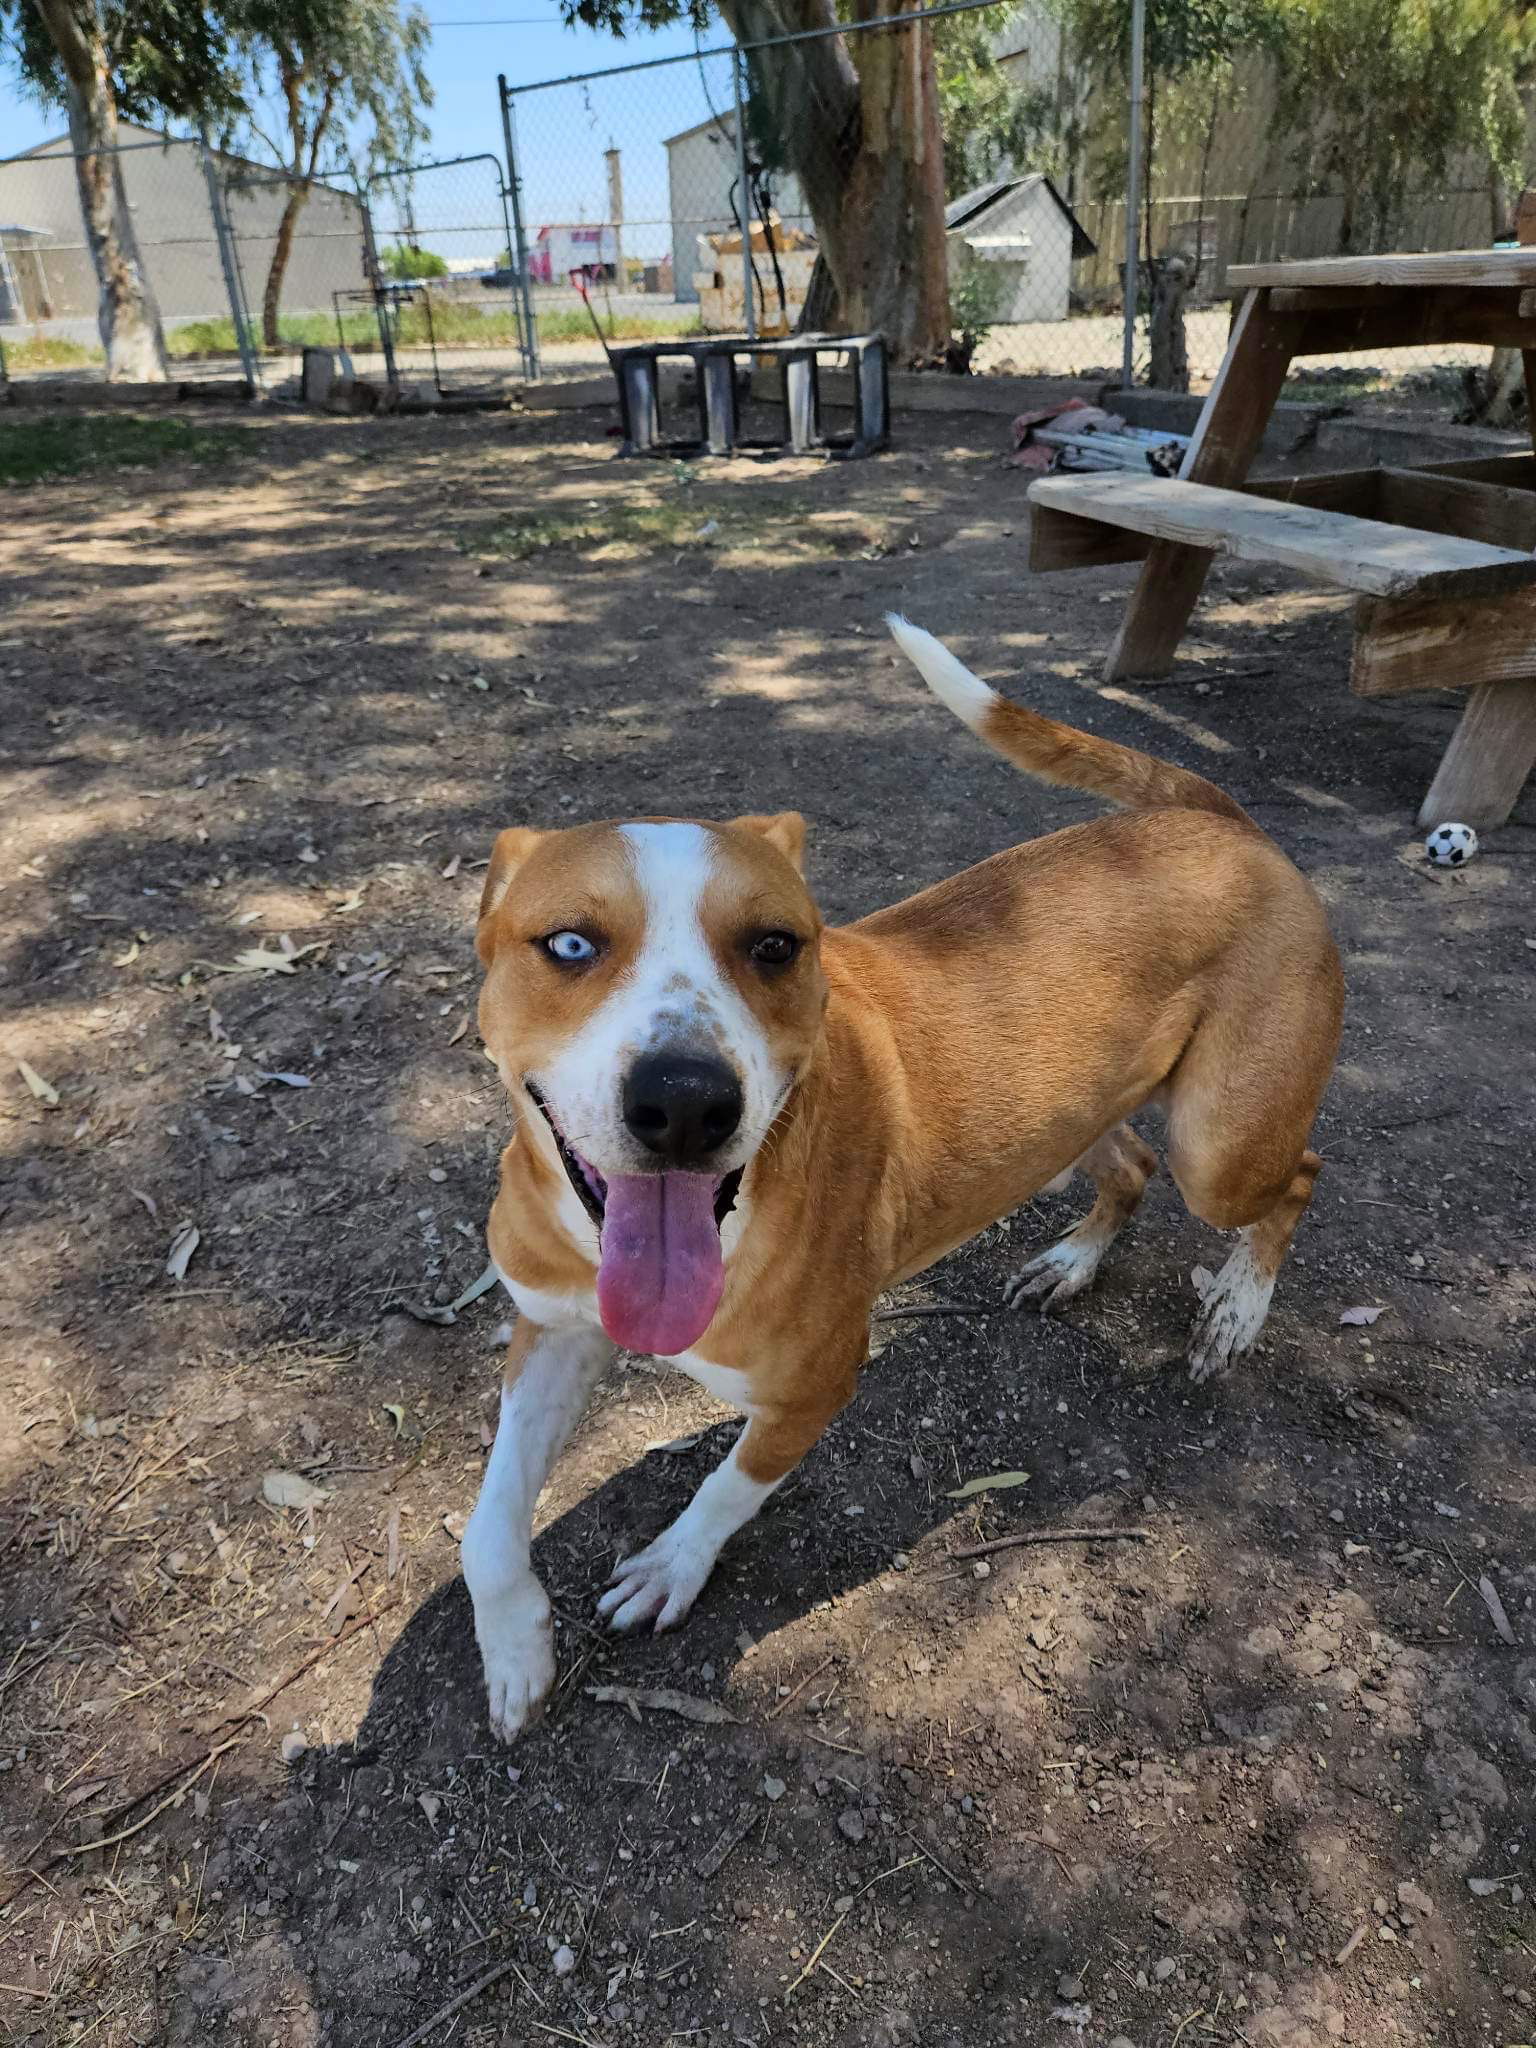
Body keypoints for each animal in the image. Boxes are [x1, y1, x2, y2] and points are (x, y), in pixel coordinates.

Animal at [460, 614, 1343, 1736]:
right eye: (569, 943)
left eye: (776, 945)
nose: (688, 1100)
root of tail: (1219, 821)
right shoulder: (550, 1328)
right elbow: (484, 1529)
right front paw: (514, 1653)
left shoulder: (812, 1388)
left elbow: (726, 1490)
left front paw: (671, 1564)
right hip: (1077, 1106)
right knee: (1132, 1161)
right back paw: (1073, 1261)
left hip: (1223, 1145)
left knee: (1296, 1174)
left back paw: (1237, 1305)